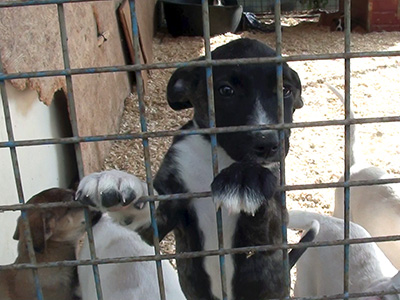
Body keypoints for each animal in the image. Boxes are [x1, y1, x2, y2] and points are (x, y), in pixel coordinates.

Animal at [76, 38, 306, 300]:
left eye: (286, 90)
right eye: (226, 90)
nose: (267, 143)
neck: (218, 157)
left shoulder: (272, 232)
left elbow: (266, 210)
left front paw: (246, 178)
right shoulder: (166, 215)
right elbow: (151, 206)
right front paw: (118, 183)